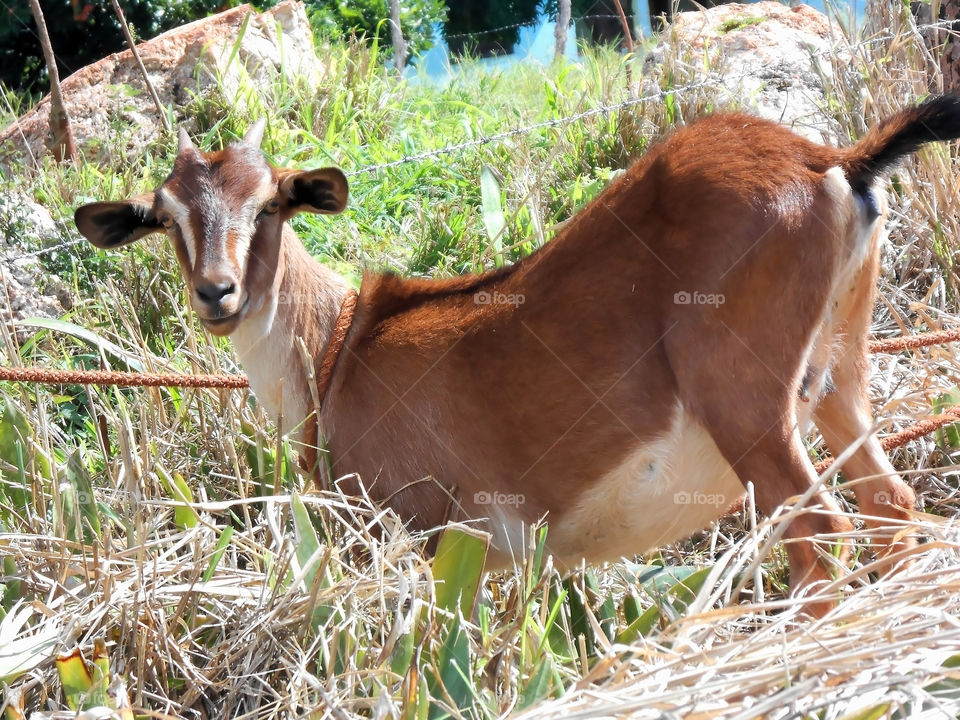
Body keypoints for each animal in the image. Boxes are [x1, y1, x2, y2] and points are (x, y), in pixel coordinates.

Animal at [73, 95, 960, 616]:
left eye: (270, 203)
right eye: (165, 217)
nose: (216, 293)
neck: (336, 351)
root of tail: (830, 162)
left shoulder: (422, 533)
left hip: (748, 407)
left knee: (822, 532)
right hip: (838, 380)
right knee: (891, 507)